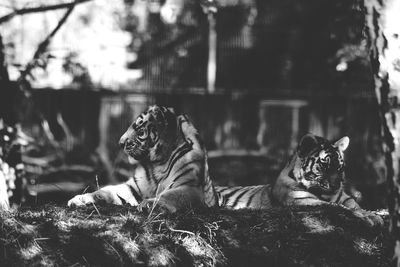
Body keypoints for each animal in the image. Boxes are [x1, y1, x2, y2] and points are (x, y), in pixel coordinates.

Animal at [69, 105, 219, 213]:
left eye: (140, 131)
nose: (120, 143)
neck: (158, 163)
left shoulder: (190, 187)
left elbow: (169, 195)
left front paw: (149, 204)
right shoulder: (134, 187)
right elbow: (107, 190)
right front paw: (81, 198)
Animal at [216, 134, 384, 226]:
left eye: (339, 167)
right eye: (325, 165)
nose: (336, 185)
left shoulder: (345, 198)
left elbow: (354, 206)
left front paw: (373, 216)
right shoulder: (302, 200)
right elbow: (339, 207)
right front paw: (365, 217)